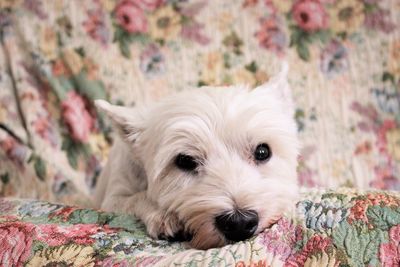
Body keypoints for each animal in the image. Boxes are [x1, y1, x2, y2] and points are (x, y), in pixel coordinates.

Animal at [94, 63, 300, 250]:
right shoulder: (113, 197)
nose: (239, 223)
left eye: (262, 152)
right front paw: (163, 216)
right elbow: (135, 198)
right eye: (185, 161)